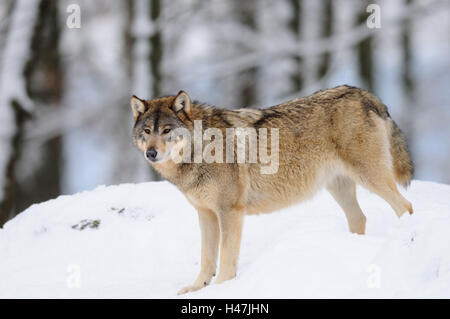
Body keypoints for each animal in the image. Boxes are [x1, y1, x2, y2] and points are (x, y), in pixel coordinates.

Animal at [129, 85, 412, 296]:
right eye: (147, 131)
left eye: (167, 131)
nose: (150, 153)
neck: (201, 150)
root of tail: (364, 93)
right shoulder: (205, 213)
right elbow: (206, 258)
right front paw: (198, 288)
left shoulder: (230, 212)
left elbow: (226, 257)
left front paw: (222, 289)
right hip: (340, 188)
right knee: (360, 218)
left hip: (370, 177)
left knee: (405, 206)